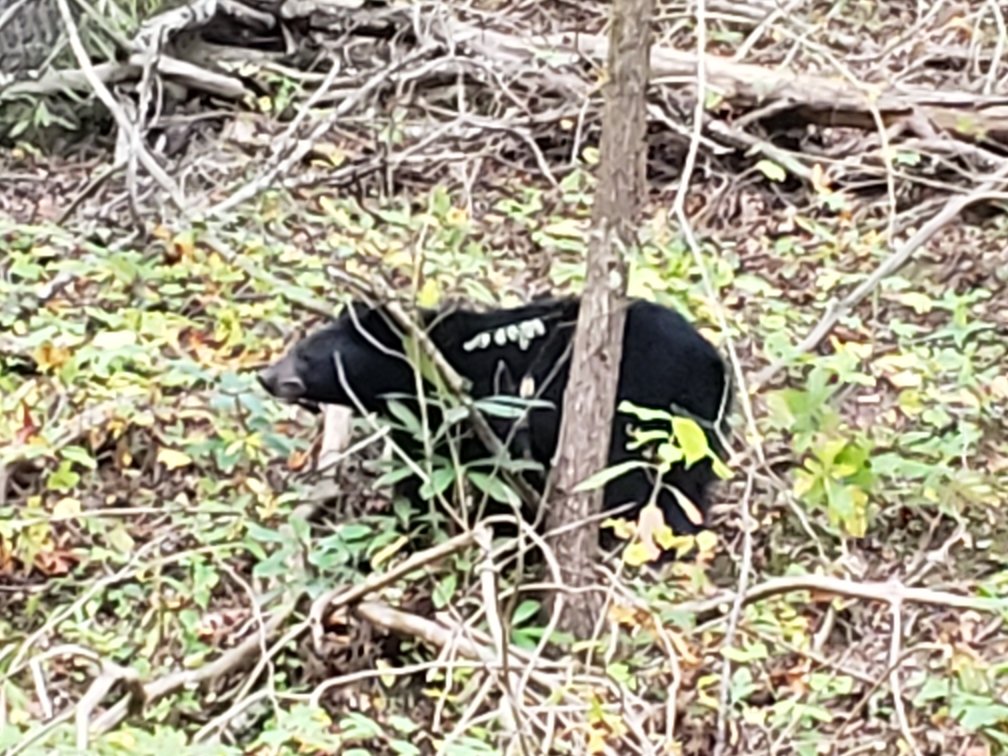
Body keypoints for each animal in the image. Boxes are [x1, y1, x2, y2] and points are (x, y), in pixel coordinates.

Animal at [258, 298, 733, 552]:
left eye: (306, 353)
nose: (266, 376)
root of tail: (716, 363)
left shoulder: (484, 410)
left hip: (656, 411)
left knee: (661, 485)